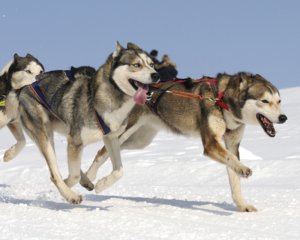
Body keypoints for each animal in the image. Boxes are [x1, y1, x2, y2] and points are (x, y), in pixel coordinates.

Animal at [81, 72, 288, 212]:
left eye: (279, 101)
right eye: (264, 101)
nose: (283, 117)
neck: (221, 99)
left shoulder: (231, 145)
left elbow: (233, 174)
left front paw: (242, 204)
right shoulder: (211, 144)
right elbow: (234, 163)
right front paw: (244, 169)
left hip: (140, 140)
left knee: (111, 153)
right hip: (123, 132)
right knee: (101, 152)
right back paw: (90, 179)